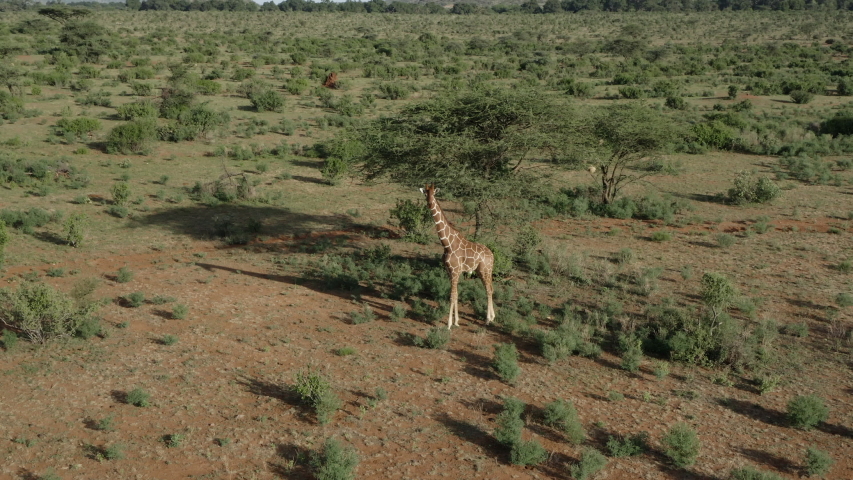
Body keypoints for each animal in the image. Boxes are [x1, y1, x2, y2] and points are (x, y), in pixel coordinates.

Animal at [422, 185, 496, 330]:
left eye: (434, 194)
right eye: (426, 194)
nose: (429, 203)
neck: (447, 244)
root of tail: (492, 254)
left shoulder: (455, 271)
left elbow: (452, 296)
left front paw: (449, 324)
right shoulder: (450, 272)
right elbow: (456, 295)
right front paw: (456, 321)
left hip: (485, 270)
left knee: (489, 289)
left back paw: (488, 319)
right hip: (481, 271)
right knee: (490, 288)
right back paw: (491, 318)